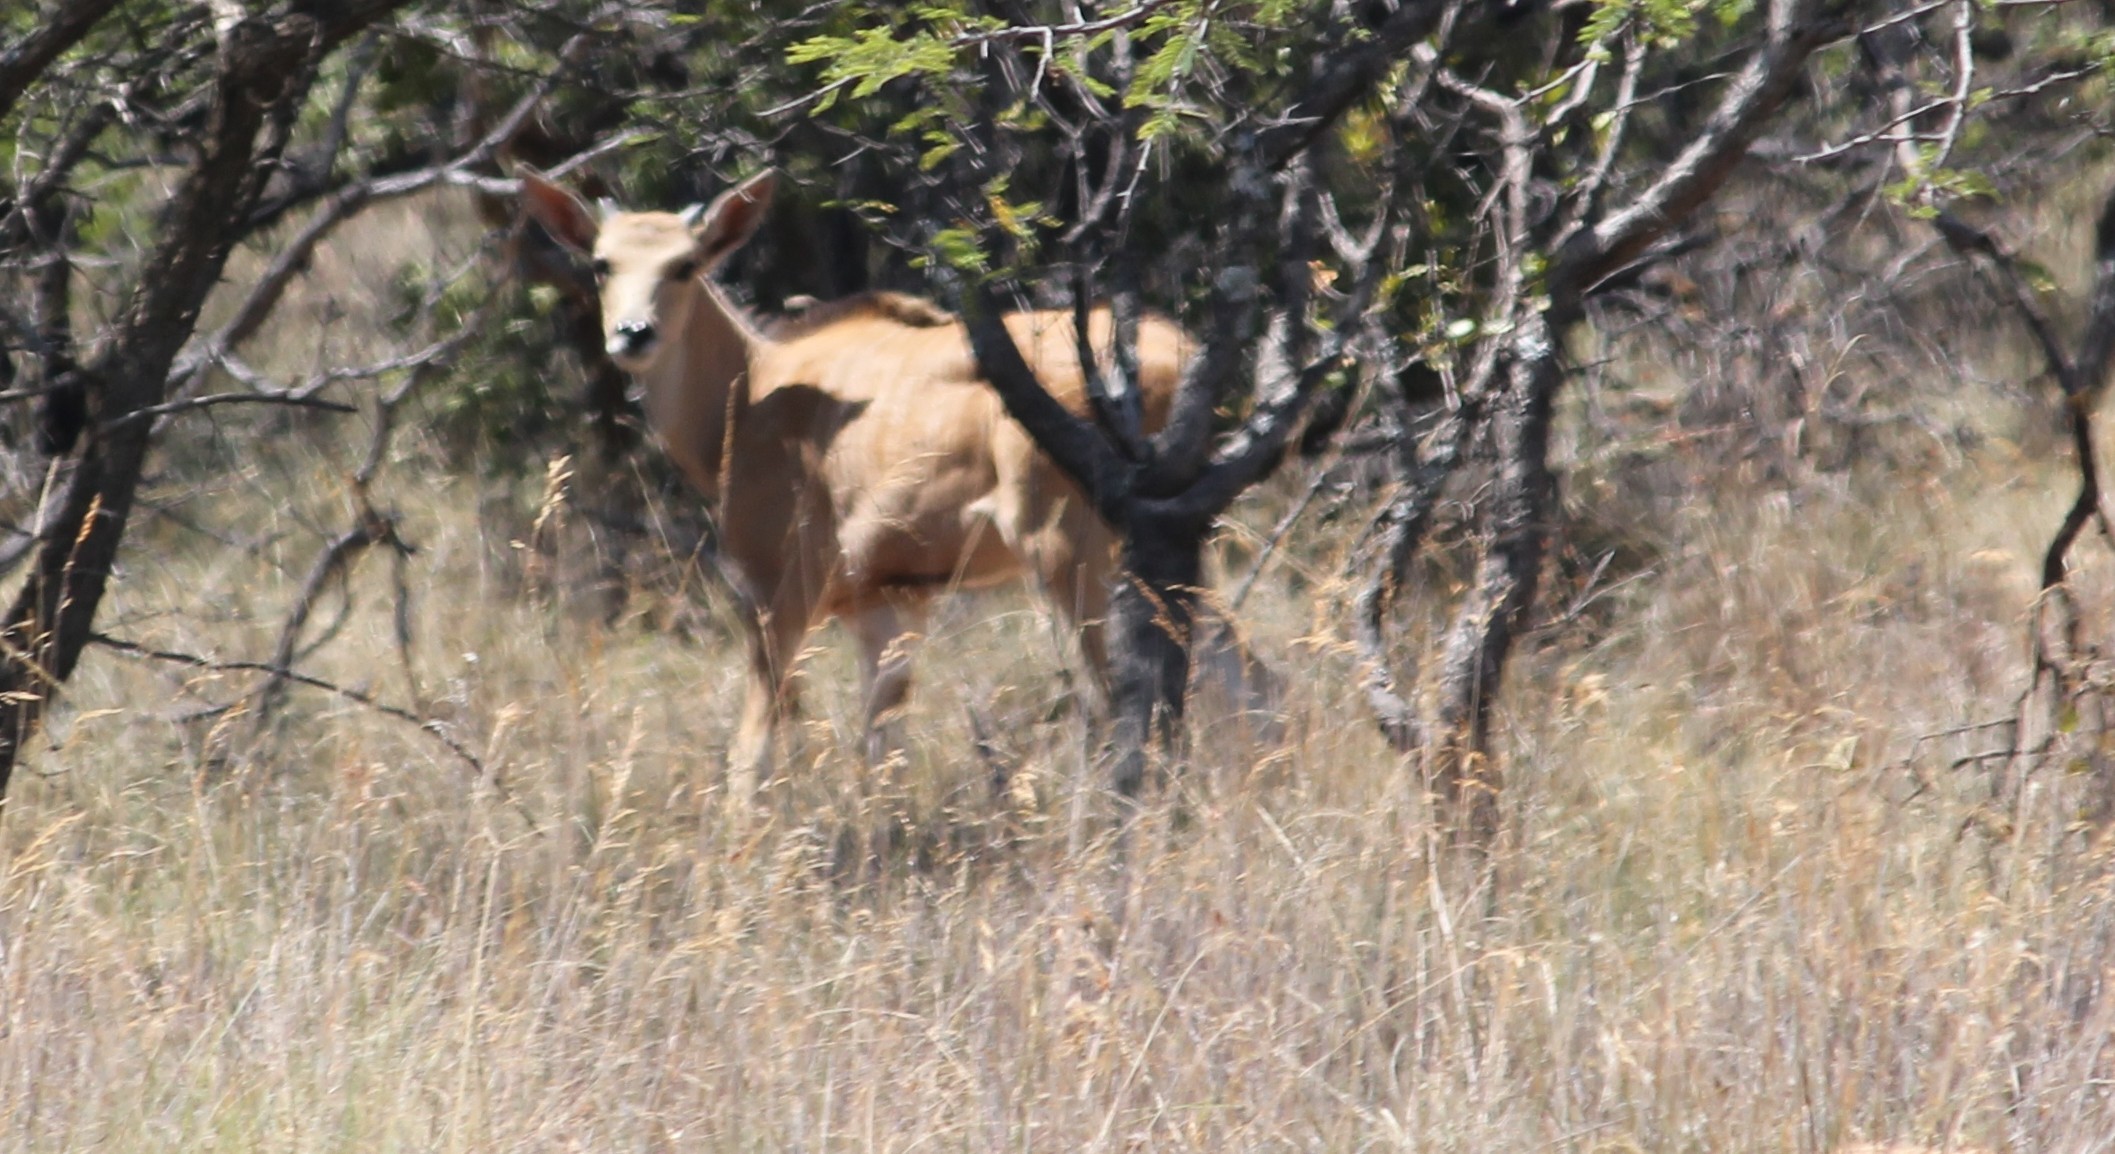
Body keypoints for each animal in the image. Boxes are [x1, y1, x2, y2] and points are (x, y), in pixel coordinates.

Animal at [516, 168, 1226, 790]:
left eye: (685, 264)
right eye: (602, 262)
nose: (633, 333)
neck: (750, 390)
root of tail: (1178, 352)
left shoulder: (781, 586)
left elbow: (755, 748)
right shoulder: (887, 602)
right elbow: (881, 749)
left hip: (1068, 548)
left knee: (1122, 701)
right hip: (1174, 541)